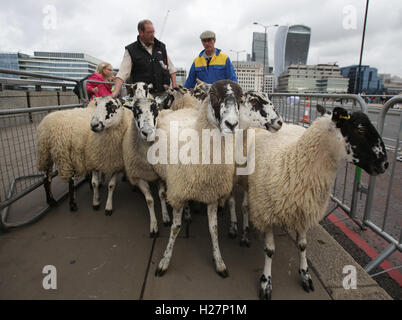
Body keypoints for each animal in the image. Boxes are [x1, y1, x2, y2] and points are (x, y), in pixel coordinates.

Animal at [247, 105, 388, 300]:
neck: (293, 162)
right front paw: (266, 282)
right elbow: (269, 251)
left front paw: (305, 274)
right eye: (360, 129)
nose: (385, 164)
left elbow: (302, 245)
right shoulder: (265, 213)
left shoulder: (305, 211)